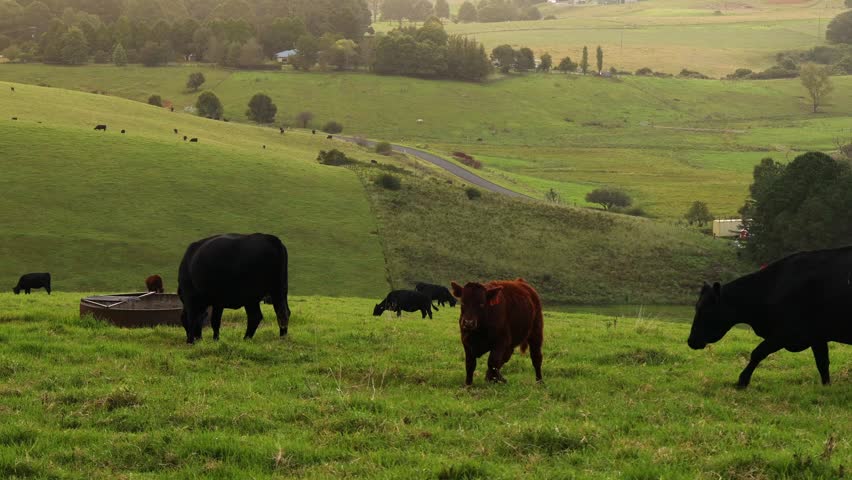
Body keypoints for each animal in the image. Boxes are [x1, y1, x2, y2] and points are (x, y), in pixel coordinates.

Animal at [688, 247, 852, 388]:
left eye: (705, 311)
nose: (691, 341)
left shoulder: (786, 333)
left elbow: (757, 353)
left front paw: (742, 381)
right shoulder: (816, 336)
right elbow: (822, 362)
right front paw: (826, 386)